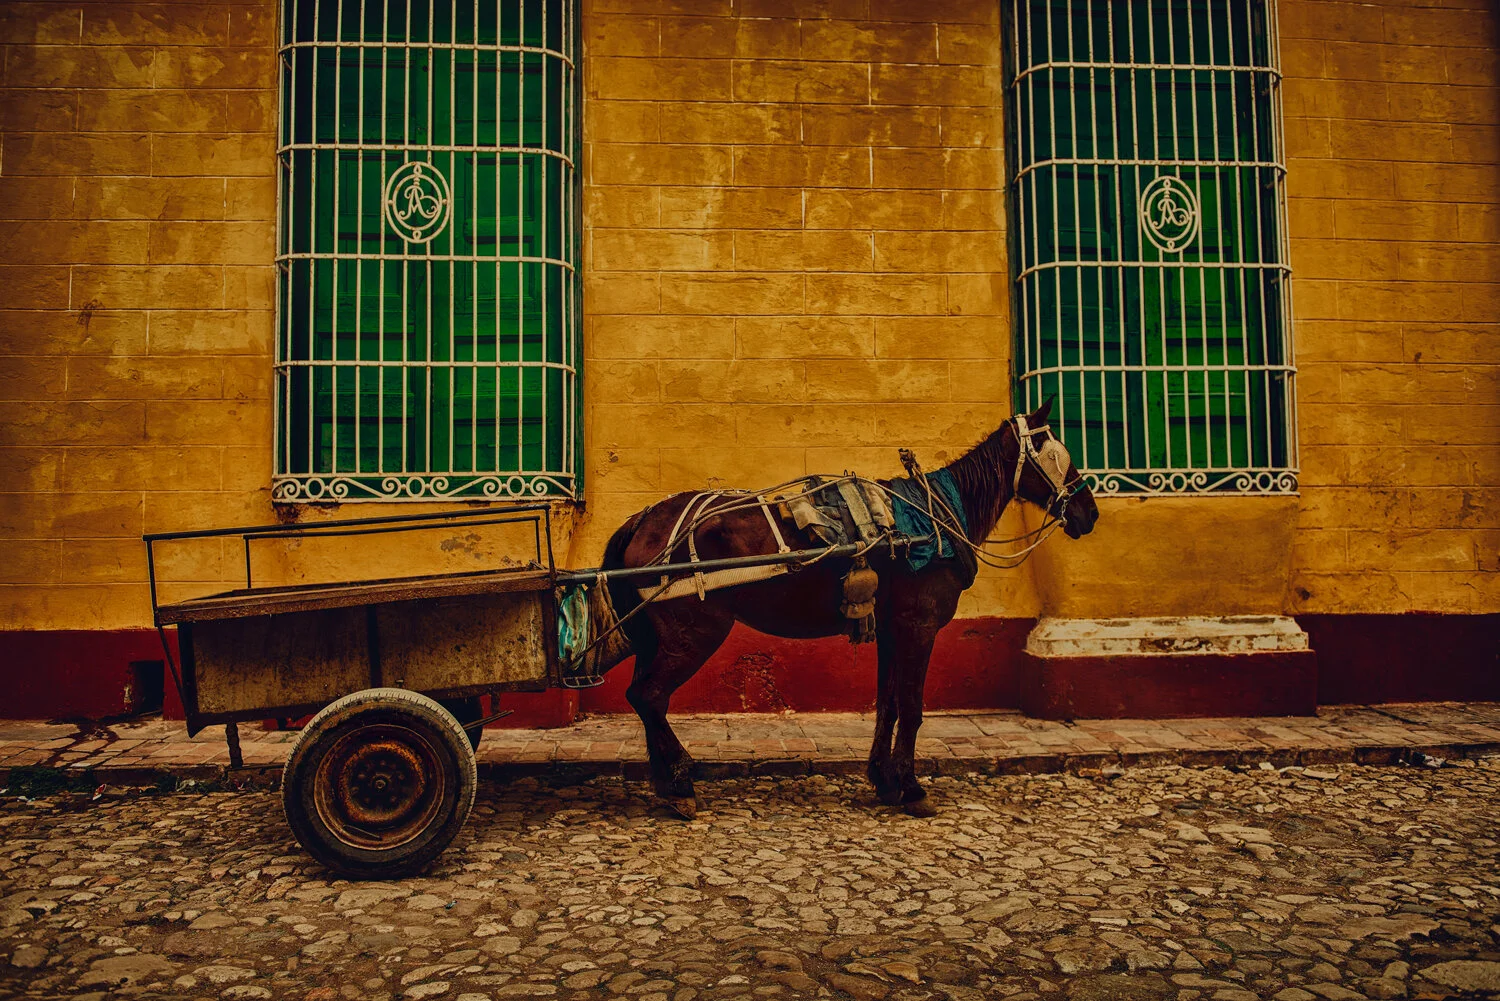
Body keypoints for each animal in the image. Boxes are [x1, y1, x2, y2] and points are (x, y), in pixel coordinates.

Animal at [598, 399, 1099, 818]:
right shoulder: (920, 626)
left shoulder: (894, 628)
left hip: (659, 637)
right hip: (695, 632)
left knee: (646, 698)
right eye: (1056, 453)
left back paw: (665, 783)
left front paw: (885, 781)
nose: (1089, 511)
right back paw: (682, 782)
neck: (932, 520)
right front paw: (911, 788)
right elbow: (912, 707)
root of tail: (642, 520)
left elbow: (888, 704)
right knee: (648, 696)